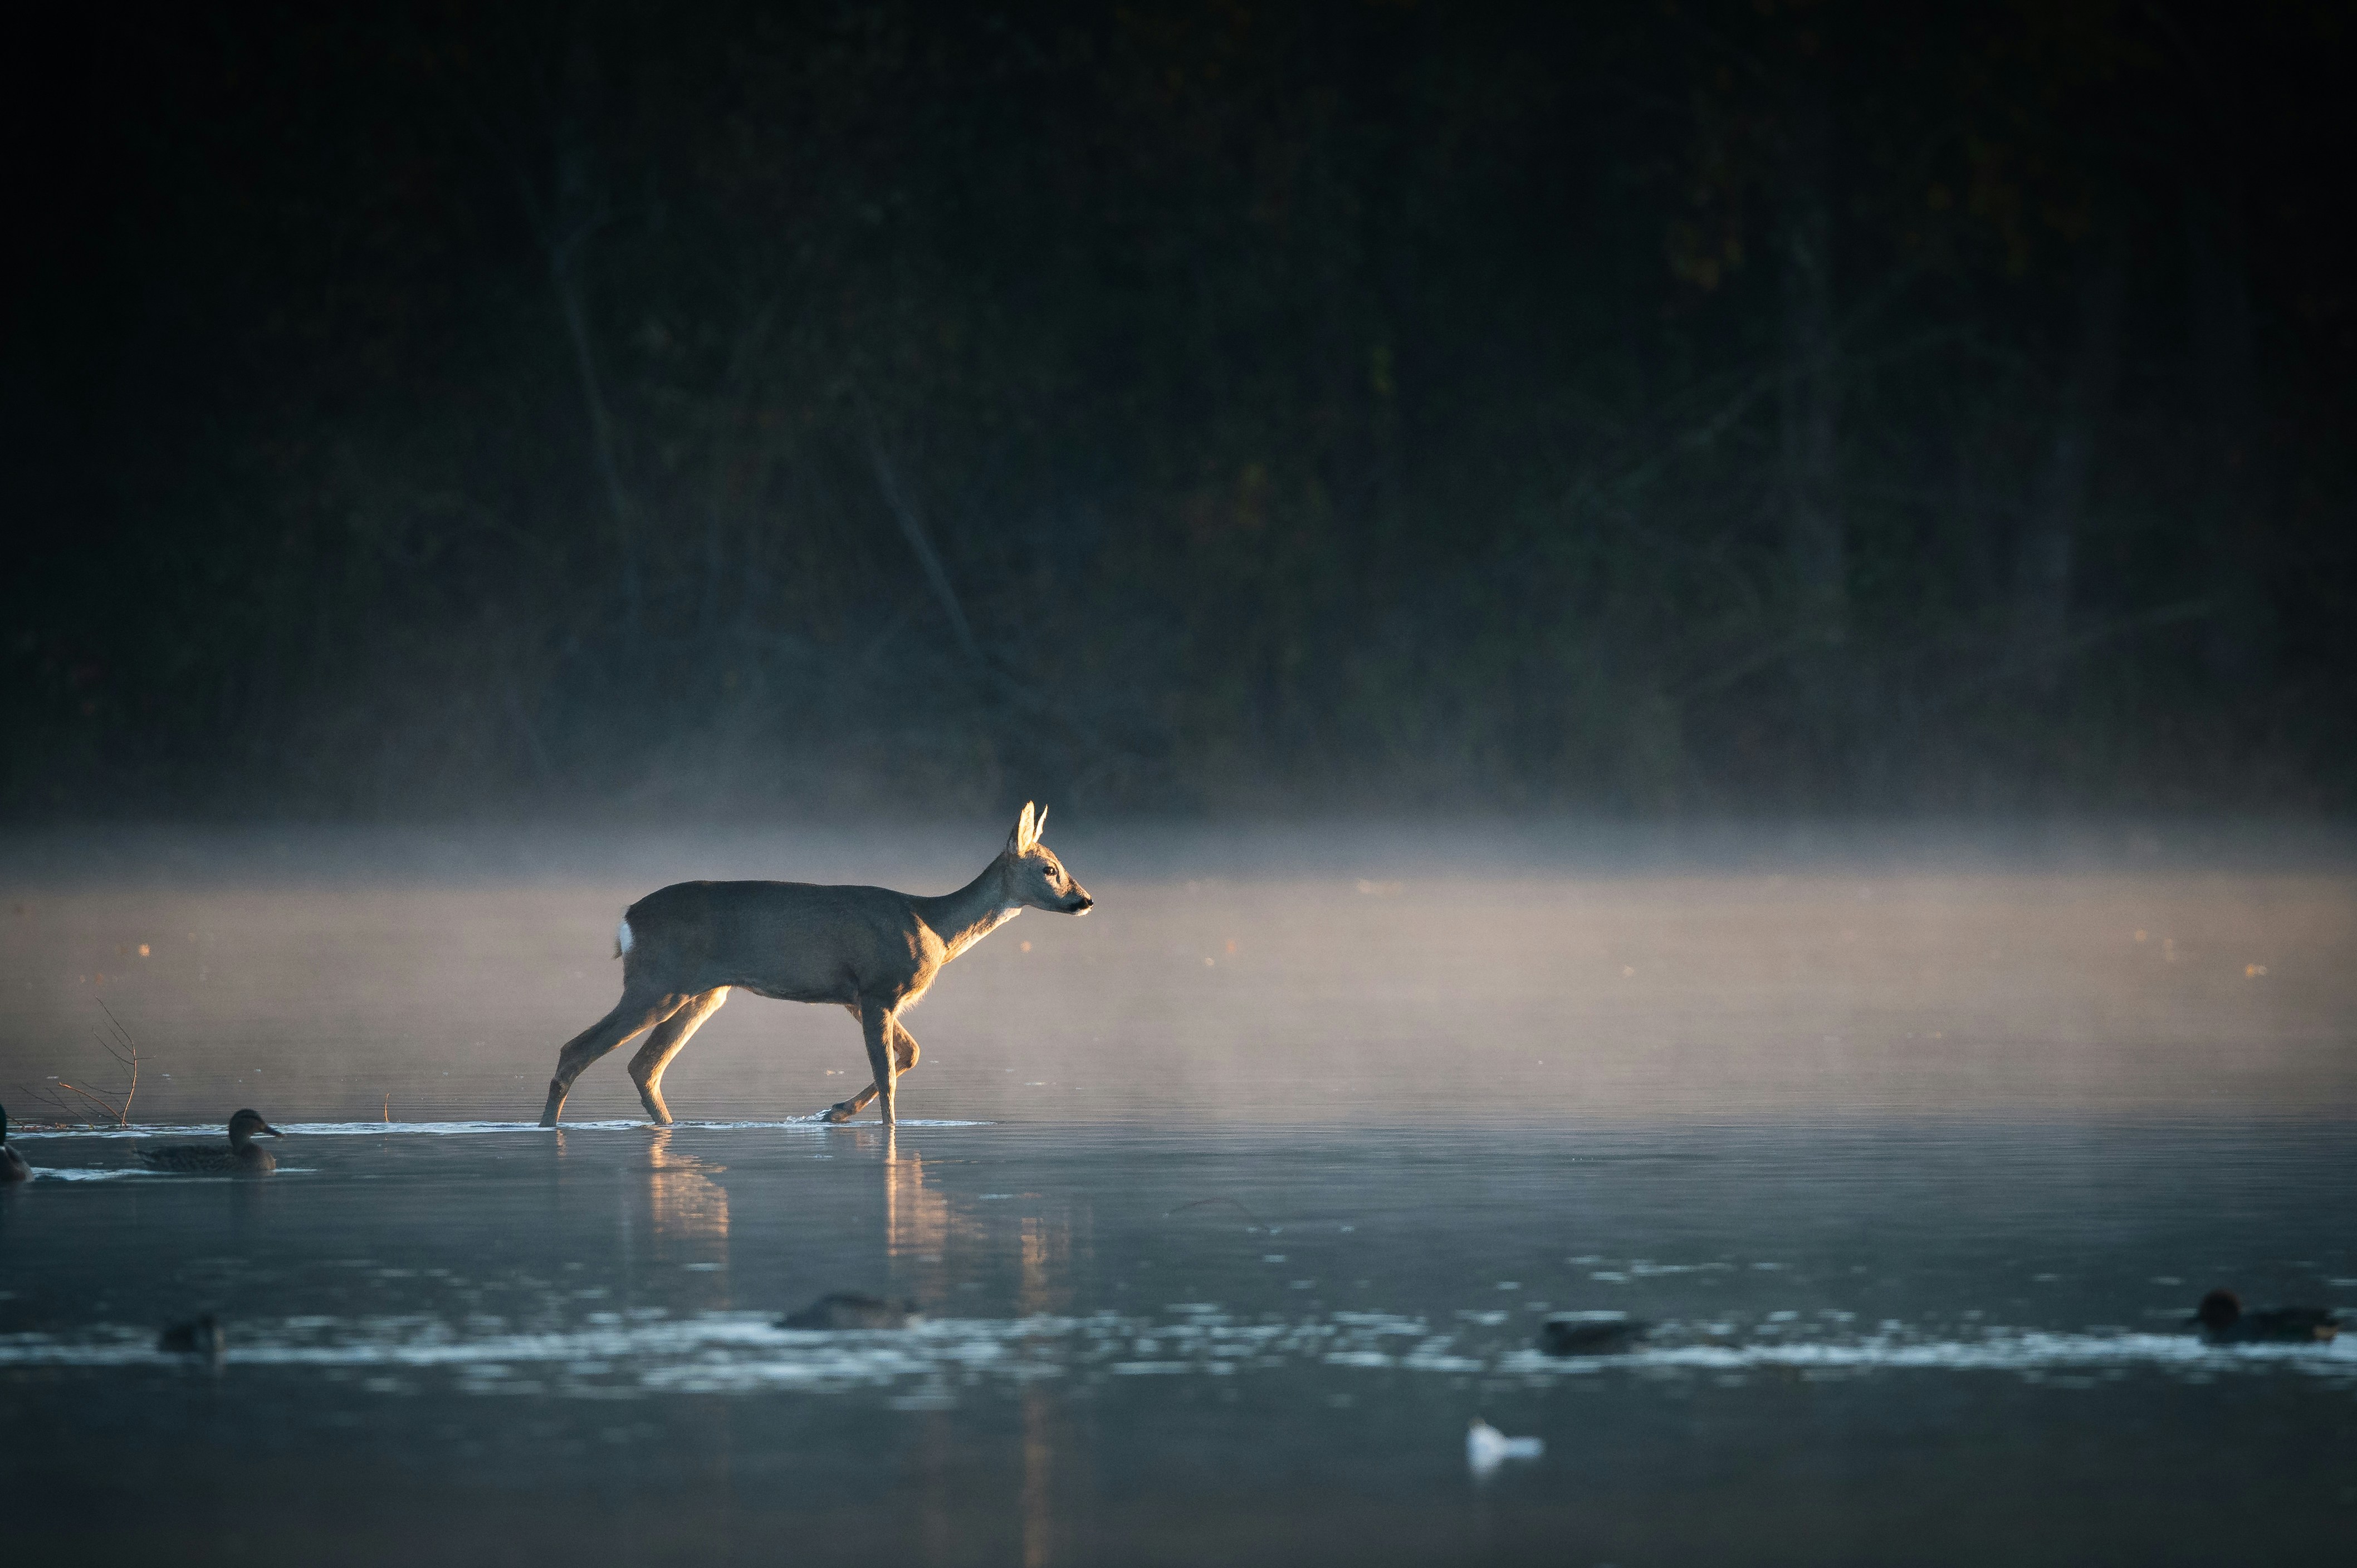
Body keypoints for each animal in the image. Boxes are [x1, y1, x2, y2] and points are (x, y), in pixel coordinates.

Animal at [537, 803, 1091, 1128]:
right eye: (1050, 869)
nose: (1084, 900)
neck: (934, 926)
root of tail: (627, 918)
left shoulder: (856, 997)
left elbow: (910, 1055)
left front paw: (835, 1111)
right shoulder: (877, 989)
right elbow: (889, 1073)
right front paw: (875, 1125)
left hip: (702, 993)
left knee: (644, 1066)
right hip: (658, 982)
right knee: (577, 1049)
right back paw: (548, 1129)